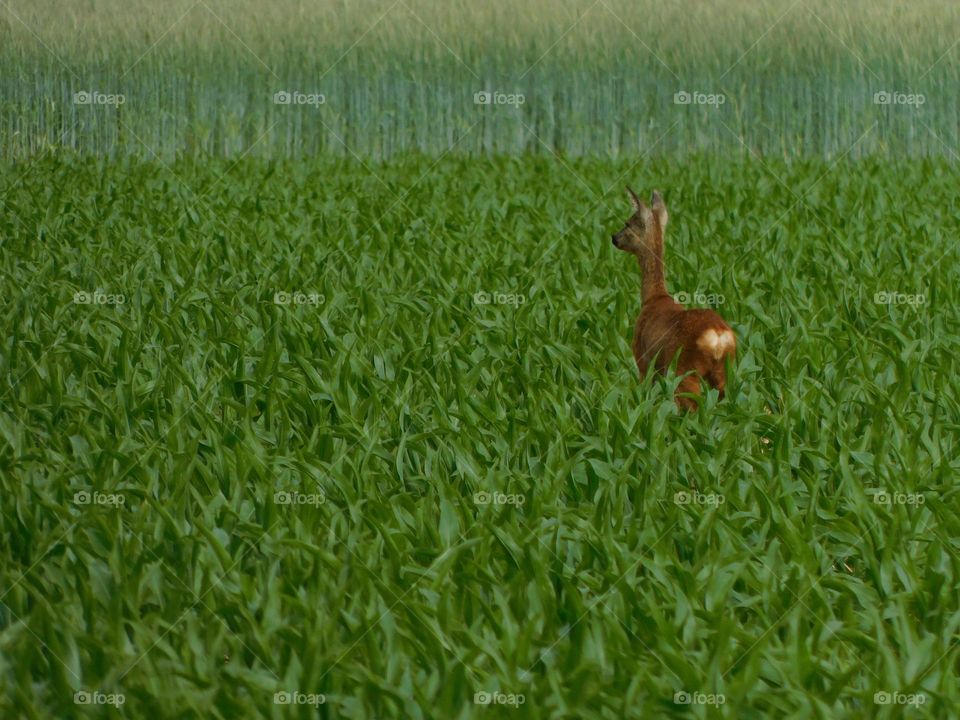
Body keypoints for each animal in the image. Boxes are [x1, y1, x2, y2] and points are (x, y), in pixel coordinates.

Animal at [611, 188, 735, 411]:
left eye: (627, 223)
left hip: (684, 370)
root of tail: (719, 337)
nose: (614, 237)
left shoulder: (643, 360)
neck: (653, 297)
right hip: (725, 374)